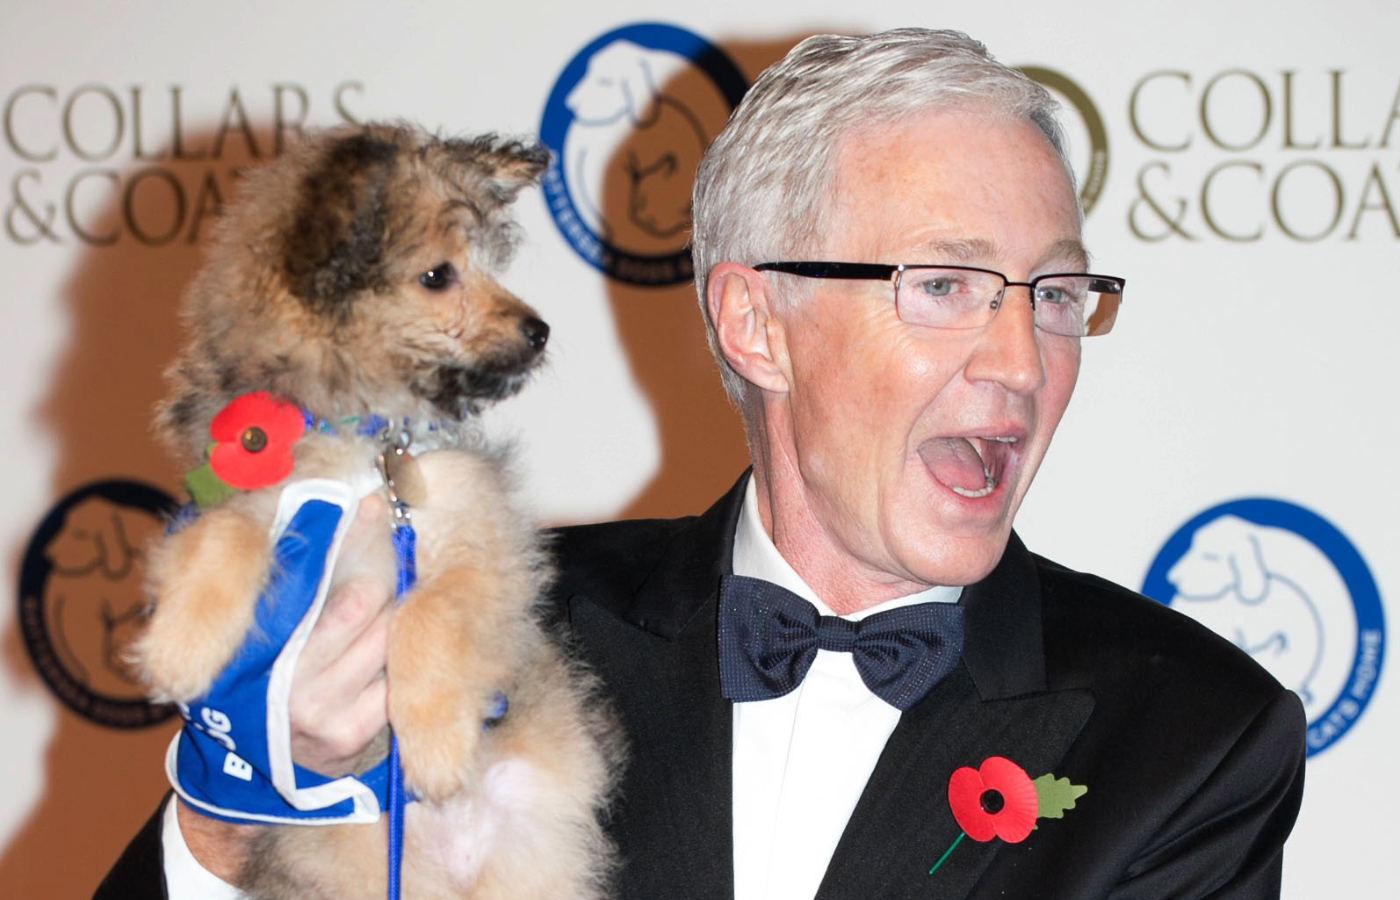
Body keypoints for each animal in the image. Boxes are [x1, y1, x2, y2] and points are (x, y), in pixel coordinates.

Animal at [132, 121, 624, 900]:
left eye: (488, 263)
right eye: (438, 276)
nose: (539, 329)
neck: (365, 448)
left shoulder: (482, 540)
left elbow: (428, 614)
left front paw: (436, 747)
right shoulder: (252, 500)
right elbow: (223, 537)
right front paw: (180, 649)